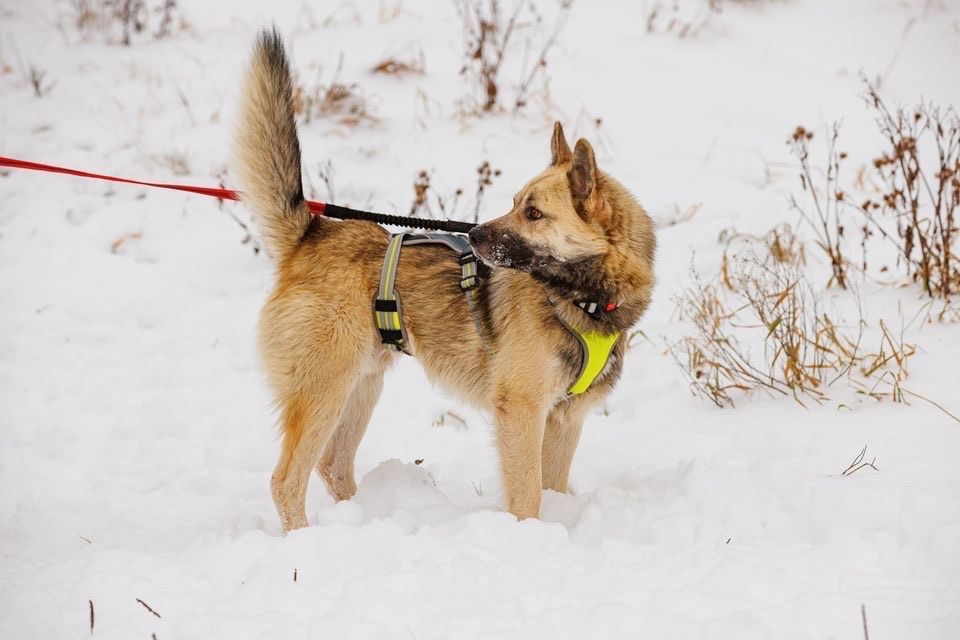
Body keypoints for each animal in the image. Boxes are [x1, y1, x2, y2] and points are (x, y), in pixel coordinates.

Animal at [234, 30, 652, 532]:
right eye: (515, 203)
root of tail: (311, 232)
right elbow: (528, 496)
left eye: (533, 213)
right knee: (286, 481)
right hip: (324, 392)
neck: (579, 299)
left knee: (332, 465)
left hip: (361, 387)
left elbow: (551, 487)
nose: (474, 234)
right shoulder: (522, 412)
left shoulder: (565, 420)